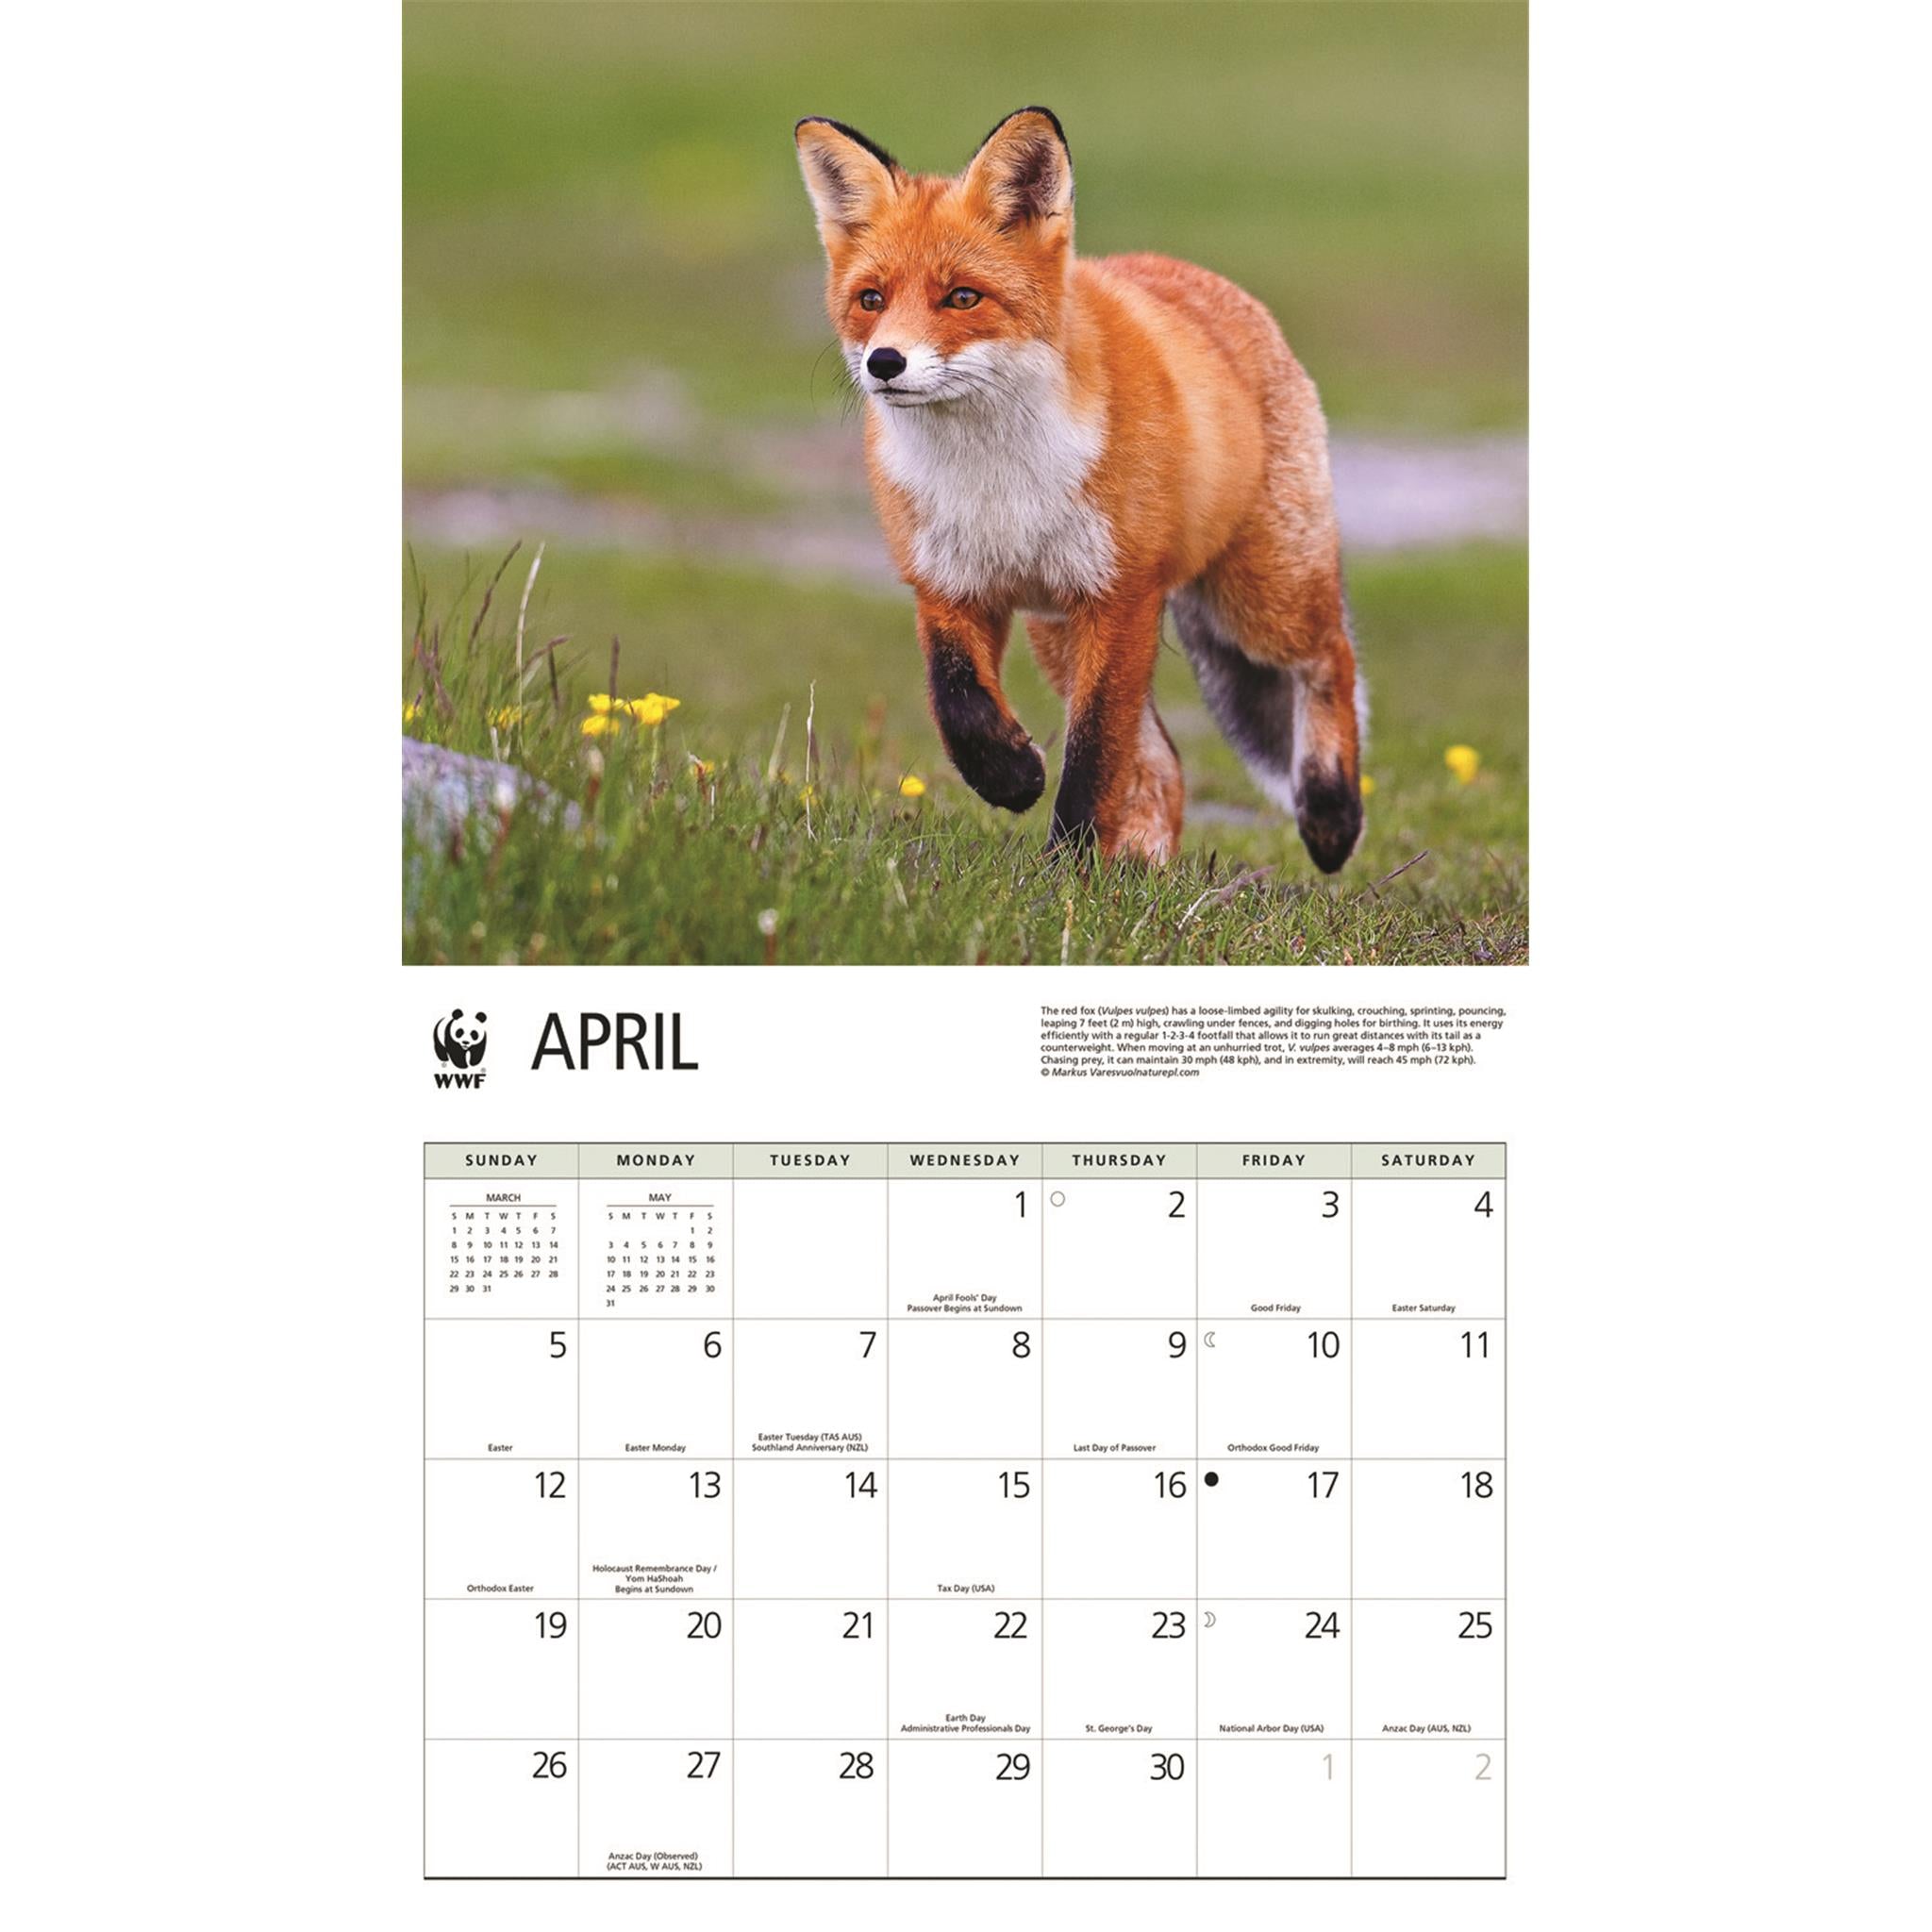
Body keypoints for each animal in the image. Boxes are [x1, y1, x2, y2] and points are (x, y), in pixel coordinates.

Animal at [794, 106, 1366, 869]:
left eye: (963, 297)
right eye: (871, 300)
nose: (885, 362)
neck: (997, 480)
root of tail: (1189, 272)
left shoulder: (1119, 597)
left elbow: (1094, 753)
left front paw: (1068, 867)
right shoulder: (947, 583)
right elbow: (957, 702)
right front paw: (1010, 776)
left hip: (1261, 598)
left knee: (1330, 657)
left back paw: (1331, 814)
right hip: (1060, 632)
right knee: (1164, 761)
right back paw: (1143, 867)